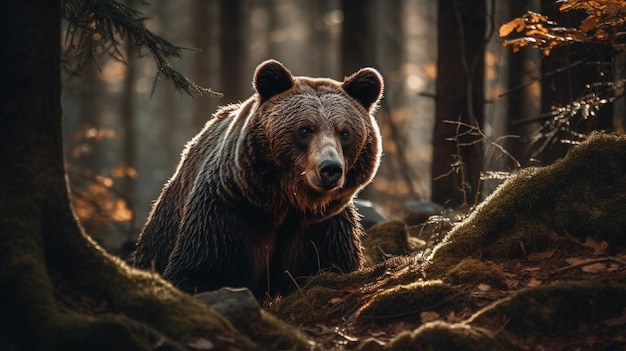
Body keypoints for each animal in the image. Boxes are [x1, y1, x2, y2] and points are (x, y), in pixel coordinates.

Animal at [134, 59, 382, 298]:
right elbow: (204, 269)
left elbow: (329, 263)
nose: (330, 168)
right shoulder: (229, 210)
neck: (286, 204)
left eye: (345, 132)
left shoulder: (322, 227)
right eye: (305, 129)